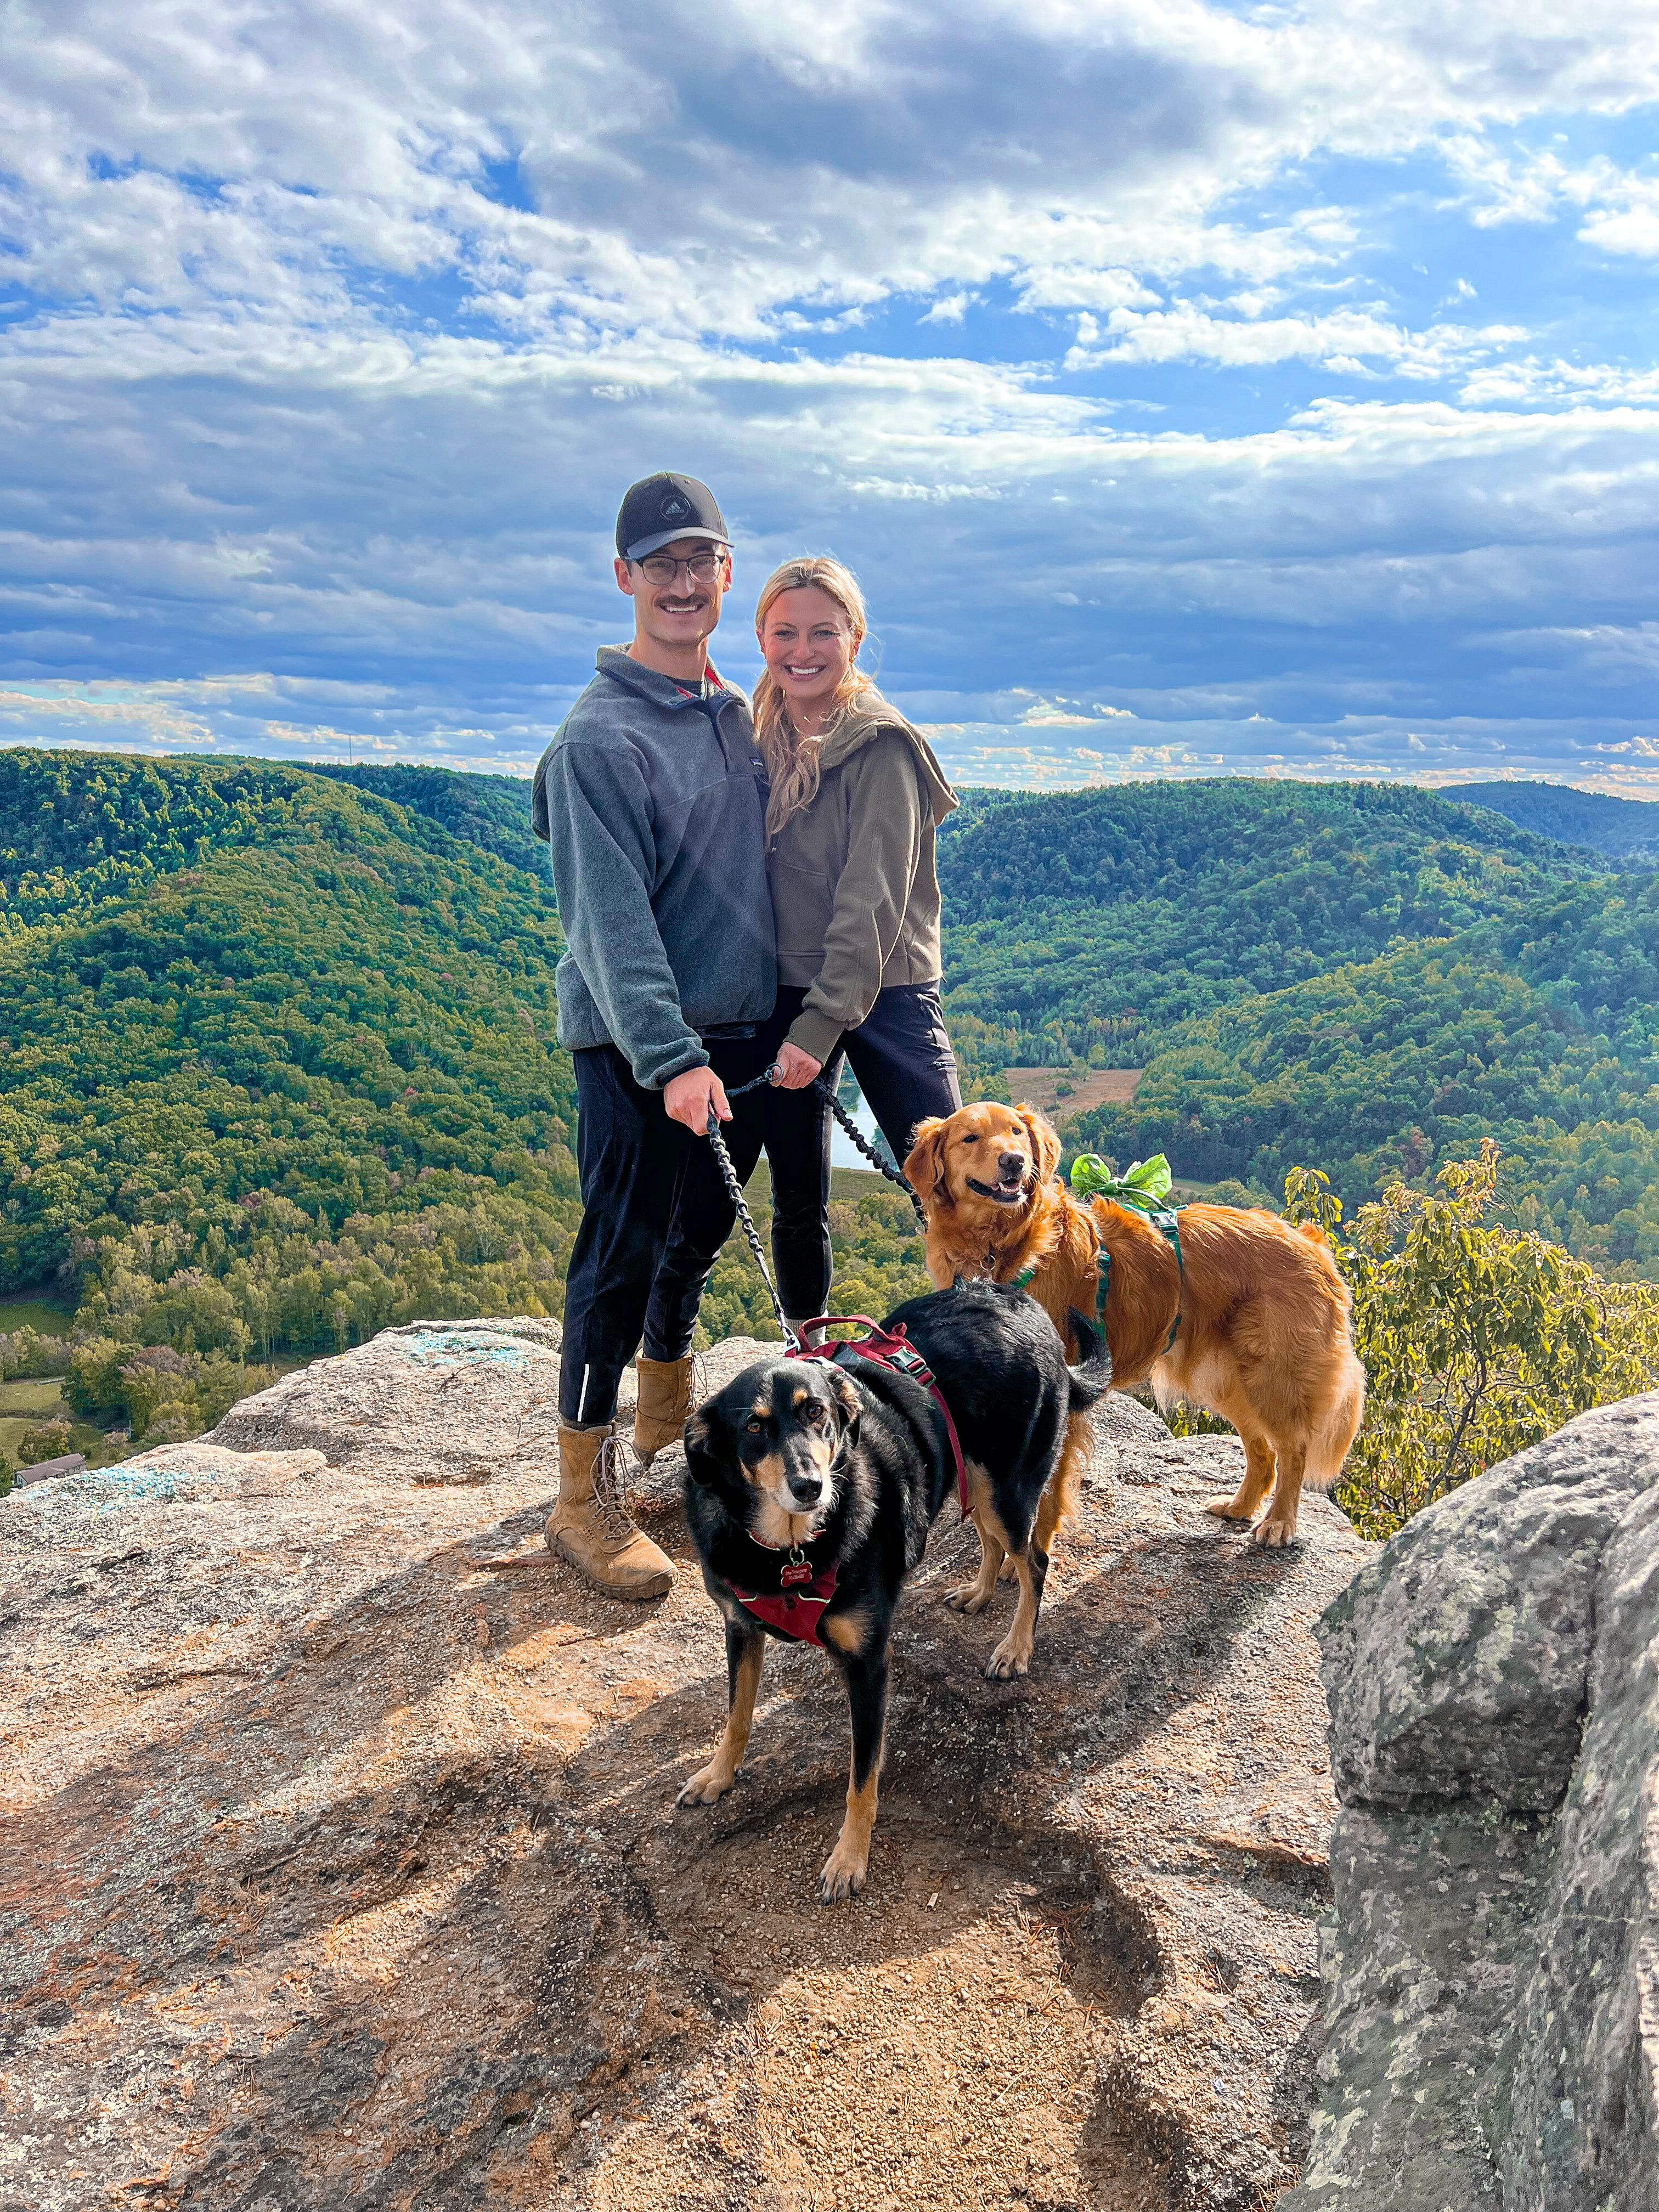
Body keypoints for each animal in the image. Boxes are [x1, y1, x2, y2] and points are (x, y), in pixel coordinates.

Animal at [676, 1283, 1119, 1902]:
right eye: (754, 1428)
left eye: (815, 1412)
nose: (811, 1486)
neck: (791, 1549)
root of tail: (1024, 1304)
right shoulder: (740, 1628)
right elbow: (737, 1716)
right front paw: (717, 1777)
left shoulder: (868, 1664)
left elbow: (862, 1778)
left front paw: (849, 1859)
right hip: (969, 1473)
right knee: (990, 1540)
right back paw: (980, 1591)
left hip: (1005, 1487)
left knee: (1033, 1559)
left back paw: (1015, 1647)